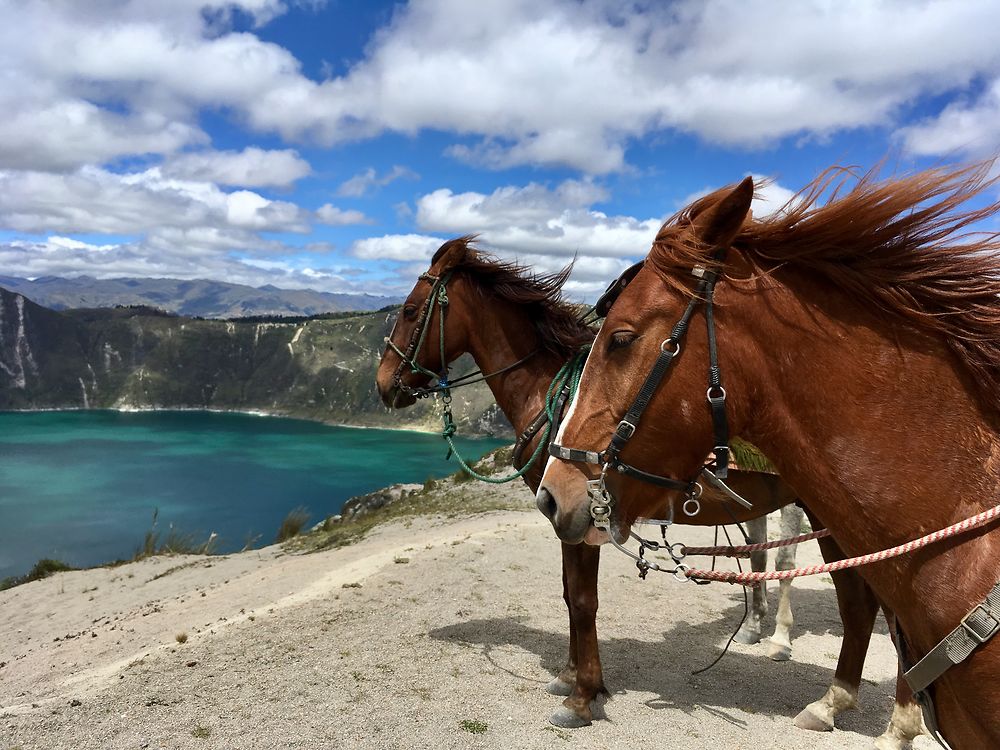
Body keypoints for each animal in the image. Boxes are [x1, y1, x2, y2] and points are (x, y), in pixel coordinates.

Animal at [374, 239, 916, 748]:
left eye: (409, 310)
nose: (383, 386)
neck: (558, 405)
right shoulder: (566, 517)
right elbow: (570, 595)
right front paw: (569, 676)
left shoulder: (581, 516)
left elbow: (583, 600)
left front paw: (583, 695)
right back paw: (832, 700)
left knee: (882, 610)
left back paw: (889, 722)